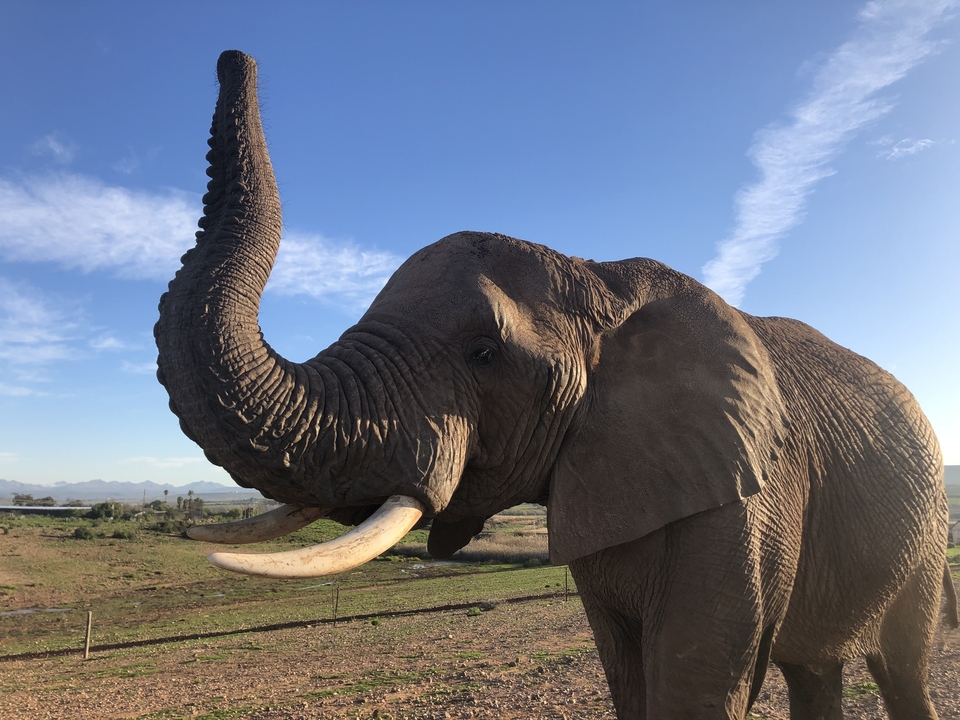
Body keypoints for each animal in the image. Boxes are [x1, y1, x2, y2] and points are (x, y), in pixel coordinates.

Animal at [155, 50, 957, 720]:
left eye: (483, 353)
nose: (233, 58)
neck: (601, 278)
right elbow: (627, 678)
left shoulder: (751, 499)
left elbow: (698, 686)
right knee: (813, 670)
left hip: (925, 537)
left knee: (901, 671)